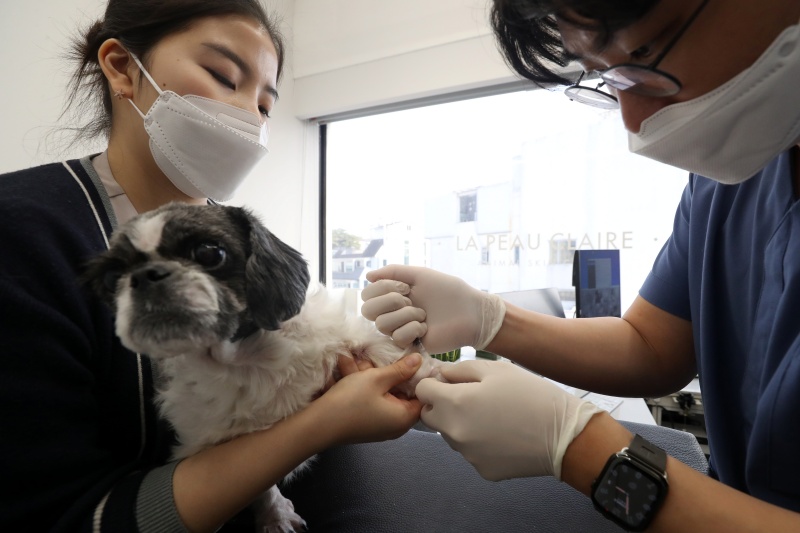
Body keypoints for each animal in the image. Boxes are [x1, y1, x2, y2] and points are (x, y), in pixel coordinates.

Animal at [84, 203, 446, 532]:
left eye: (209, 252)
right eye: (112, 278)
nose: (144, 275)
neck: (248, 358)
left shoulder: (339, 335)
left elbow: (376, 346)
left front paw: (423, 375)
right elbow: (261, 486)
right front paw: (275, 515)